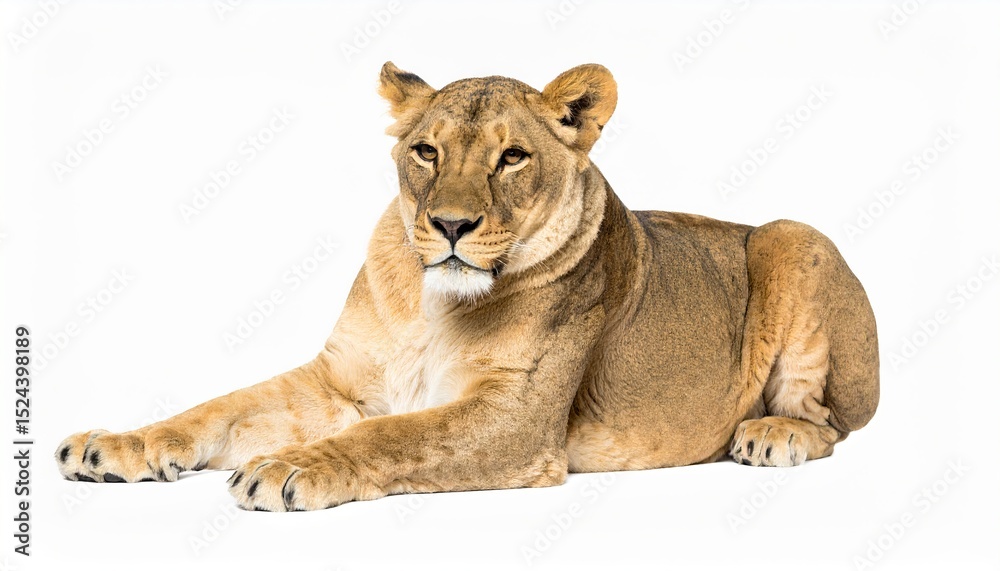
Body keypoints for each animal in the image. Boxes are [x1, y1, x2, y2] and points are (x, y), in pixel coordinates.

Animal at [55, 63, 879, 511]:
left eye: (512, 157)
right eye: (426, 151)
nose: (450, 224)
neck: (430, 304)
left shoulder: (517, 419)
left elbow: (391, 434)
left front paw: (293, 467)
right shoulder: (336, 383)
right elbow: (215, 408)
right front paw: (114, 444)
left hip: (792, 236)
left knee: (833, 423)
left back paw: (770, 435)